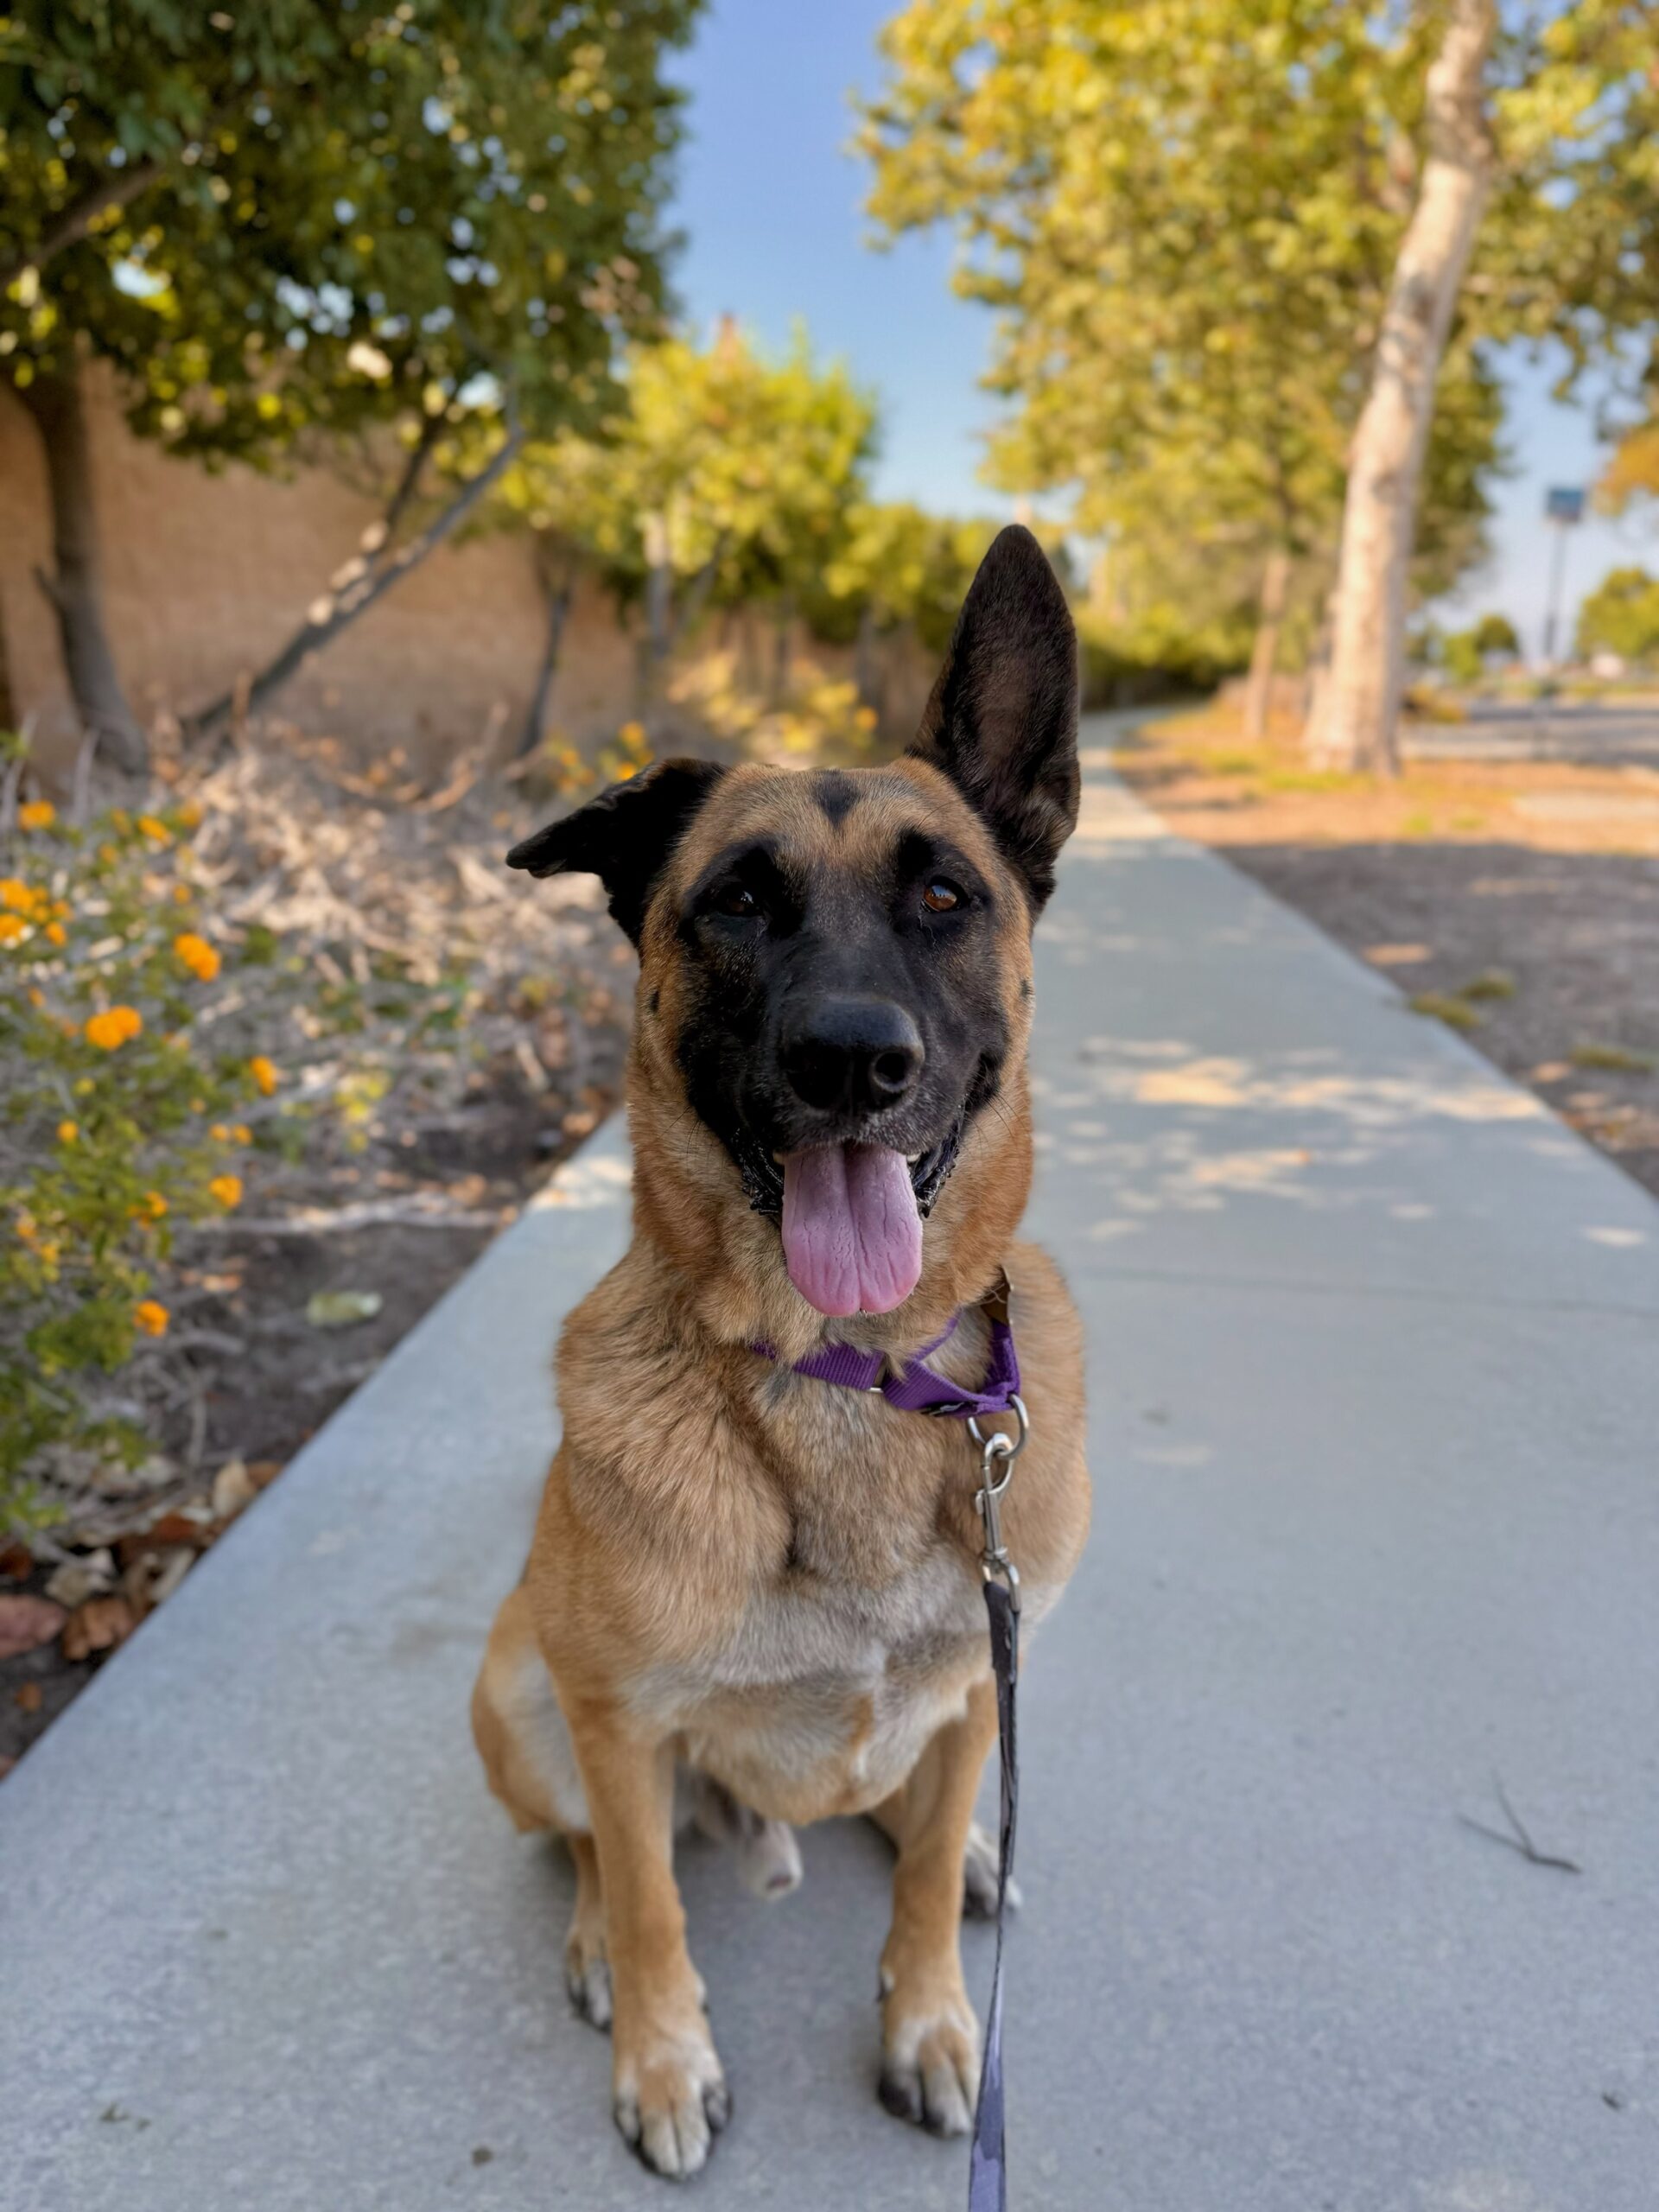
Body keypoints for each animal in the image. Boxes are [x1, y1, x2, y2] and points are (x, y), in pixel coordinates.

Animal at [471, 523, 1091, 2178]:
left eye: (944, 893)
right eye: (737, 904)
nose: (854, 1061)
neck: (853, 1370)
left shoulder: (985, 1672)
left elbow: (923, 1879)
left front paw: (933, 2018)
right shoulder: (616, 1718)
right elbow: (648, 1895)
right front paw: (662, 2052)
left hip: (973, 1693)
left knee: (916, 1791)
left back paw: (972, 1844)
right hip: (524, 1696)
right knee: (594, 1851)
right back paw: (596, 1953)